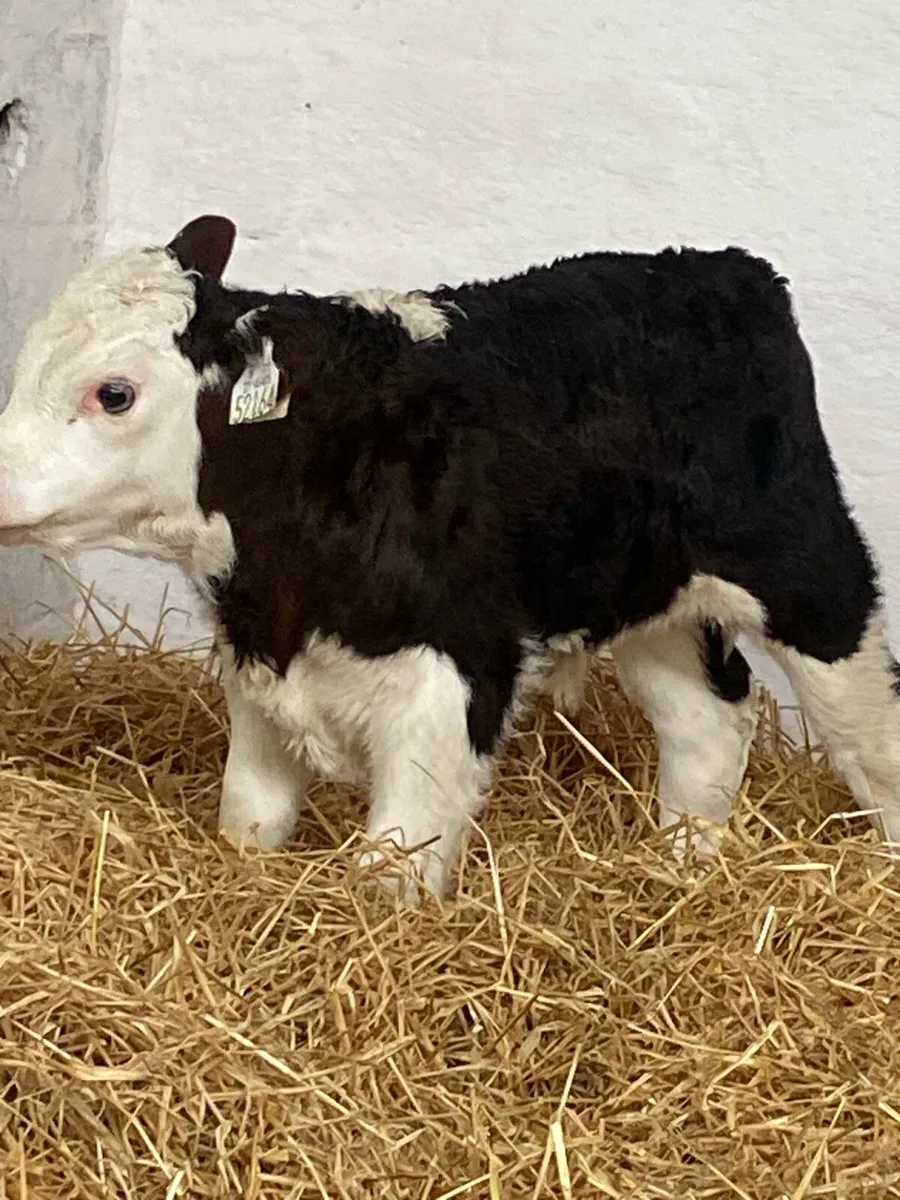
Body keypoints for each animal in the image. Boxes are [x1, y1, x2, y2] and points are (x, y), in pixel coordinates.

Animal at [0, 213, 897, 900]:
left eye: (114, 393)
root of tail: (723, 268)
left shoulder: (454, 679)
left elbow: (389, 871)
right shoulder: (260, 679)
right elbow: (249, 819)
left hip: (812, 576)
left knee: (869, 734)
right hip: (648, 595)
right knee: (709, 718)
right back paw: (681, 864)